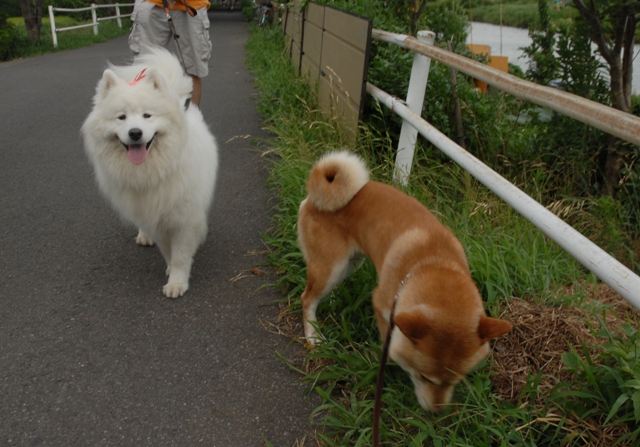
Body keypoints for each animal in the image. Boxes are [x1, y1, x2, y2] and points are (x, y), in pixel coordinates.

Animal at [82, 48, 219, 298]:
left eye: (147, 115)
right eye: (122, 117)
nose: (135, 133)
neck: (153, 170)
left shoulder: (184, 218)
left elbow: (181, 255)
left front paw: (177, 282)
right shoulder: (154, 215)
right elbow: (168, 251)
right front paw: (172, 272)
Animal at [298, 152, 512, 412]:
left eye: (457, 380)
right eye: (424, 377)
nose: (436, 412)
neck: (431, 264)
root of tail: (314, 197)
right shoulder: (383, 305)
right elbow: (389, 347)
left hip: (350, 263)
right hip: (331, 267)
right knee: (307, 298)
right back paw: (313, 336)